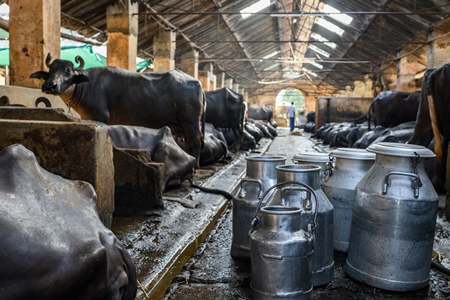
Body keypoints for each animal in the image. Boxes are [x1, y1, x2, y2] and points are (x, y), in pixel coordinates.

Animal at [28, 53, 204, 168]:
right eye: (51, 70)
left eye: (68, 70)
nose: (49, 86)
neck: (85, 86)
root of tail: (196, 83)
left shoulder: (101, 117)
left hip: (190, 121)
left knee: (196, 141)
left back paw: (196, 166)